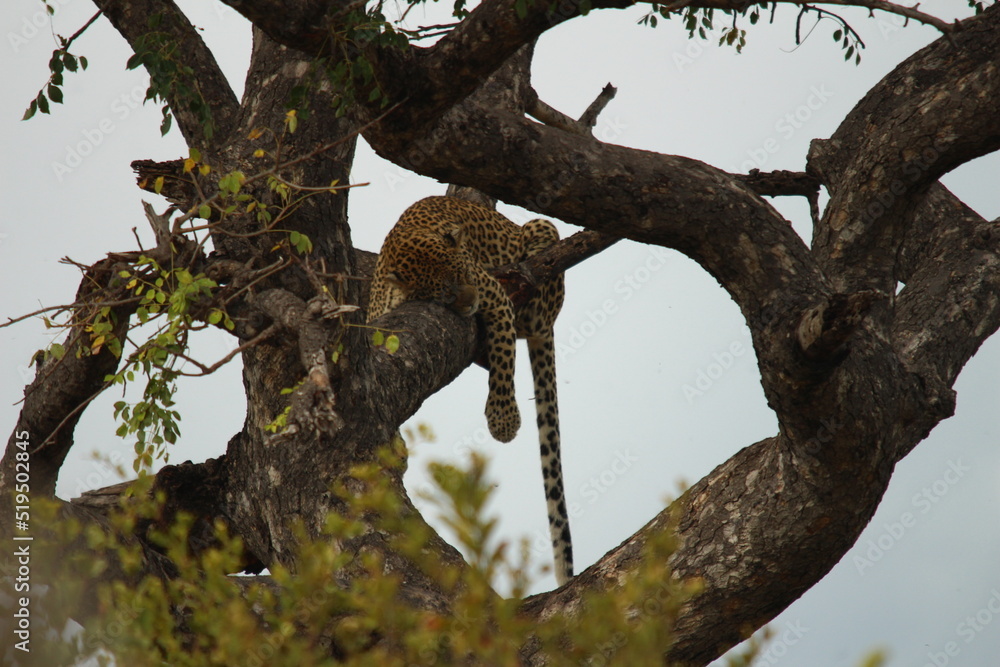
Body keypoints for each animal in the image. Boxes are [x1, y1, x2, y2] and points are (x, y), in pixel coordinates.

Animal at [367, 195, 573, 585]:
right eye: (443, 294)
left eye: (464, 273)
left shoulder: (496, 296)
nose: (470, 301)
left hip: (540, 234)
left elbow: (505, 358)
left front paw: (503, 421)